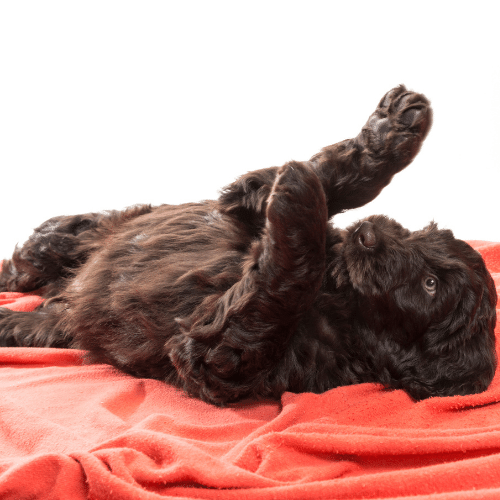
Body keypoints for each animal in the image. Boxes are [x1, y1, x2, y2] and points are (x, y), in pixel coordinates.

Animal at [0, 86, 496, 404]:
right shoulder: (245, 213)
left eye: (430, 285)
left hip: (56, 322)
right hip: (83, 233)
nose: (370, 233)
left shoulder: (220, 357)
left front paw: (298, 189)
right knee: (35, 255)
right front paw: (389, 132)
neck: (341, 295)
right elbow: (319, 181)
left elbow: (277, 290)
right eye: (421, 233)